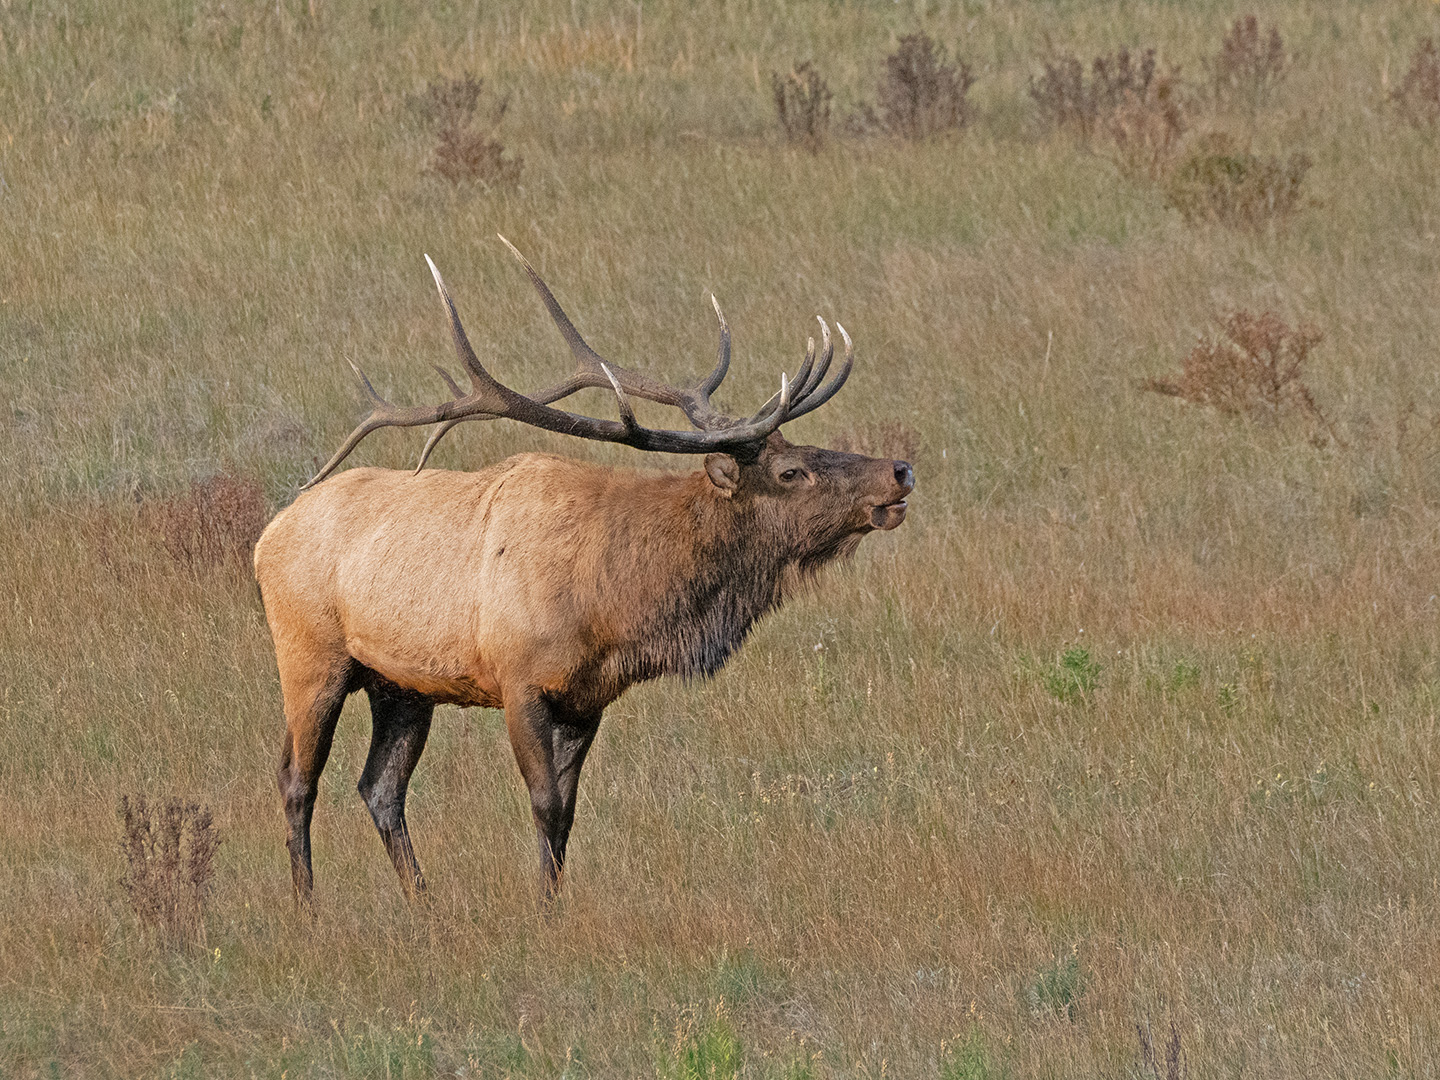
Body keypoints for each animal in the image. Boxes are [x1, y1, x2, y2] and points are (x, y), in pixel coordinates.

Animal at [253, 237, 914, 905]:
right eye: (790, 472)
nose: (900, 470)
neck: (611, 603)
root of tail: (265, 538)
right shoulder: (519, 679)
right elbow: (544, 806)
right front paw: (543, 910)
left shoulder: (586, 699)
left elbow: (567, 815)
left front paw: (555, 904)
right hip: (310, 655)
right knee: (296, 779)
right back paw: (308, 906)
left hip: (402, 685)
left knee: (381, 788)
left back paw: (424, 902)